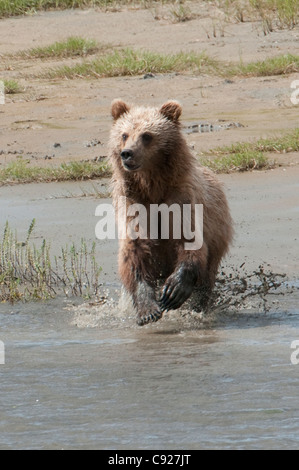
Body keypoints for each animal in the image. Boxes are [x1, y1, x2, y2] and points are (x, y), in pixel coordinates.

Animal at [108, 99, 234, 326]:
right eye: (124, 134)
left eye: (146, 135)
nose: (127, 153)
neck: (152, 186)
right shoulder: (133, 204)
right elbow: (135, 252)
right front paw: (148, 311)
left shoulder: (181, 200)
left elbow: (189, 241)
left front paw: (174, 291)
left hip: (218, 234)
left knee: (206, 278)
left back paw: (198, 306)